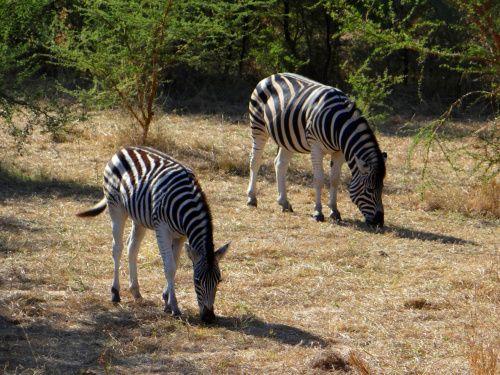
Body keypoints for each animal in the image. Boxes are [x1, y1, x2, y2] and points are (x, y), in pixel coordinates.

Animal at [76, 145, 230, 322]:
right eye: (197, 281)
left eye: (219, 280)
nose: (209, 317)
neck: (185, 208)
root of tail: (124, 149)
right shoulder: (162, 229)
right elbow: (169, 266)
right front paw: (174, 307)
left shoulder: (181, 236)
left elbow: (175, 265)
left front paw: (166, 300)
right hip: (115, 206)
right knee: (117, 248)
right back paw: (115, 292)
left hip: (138, 217)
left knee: (132, 247)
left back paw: (135, 291)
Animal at [246, 73, 386, 226]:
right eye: (369, 190)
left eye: (382, 188)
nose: (379, 221)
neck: (338, 126)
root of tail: (271, 76)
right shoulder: (316, 146)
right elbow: (319, 180)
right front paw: (318, 212)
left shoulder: (339, 152)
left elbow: (334, 180)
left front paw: (334, 211)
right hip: (258, 126)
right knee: (255, 161)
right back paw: (252, 198)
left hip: (287, 138)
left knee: (280, 165)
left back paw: (284, 203)